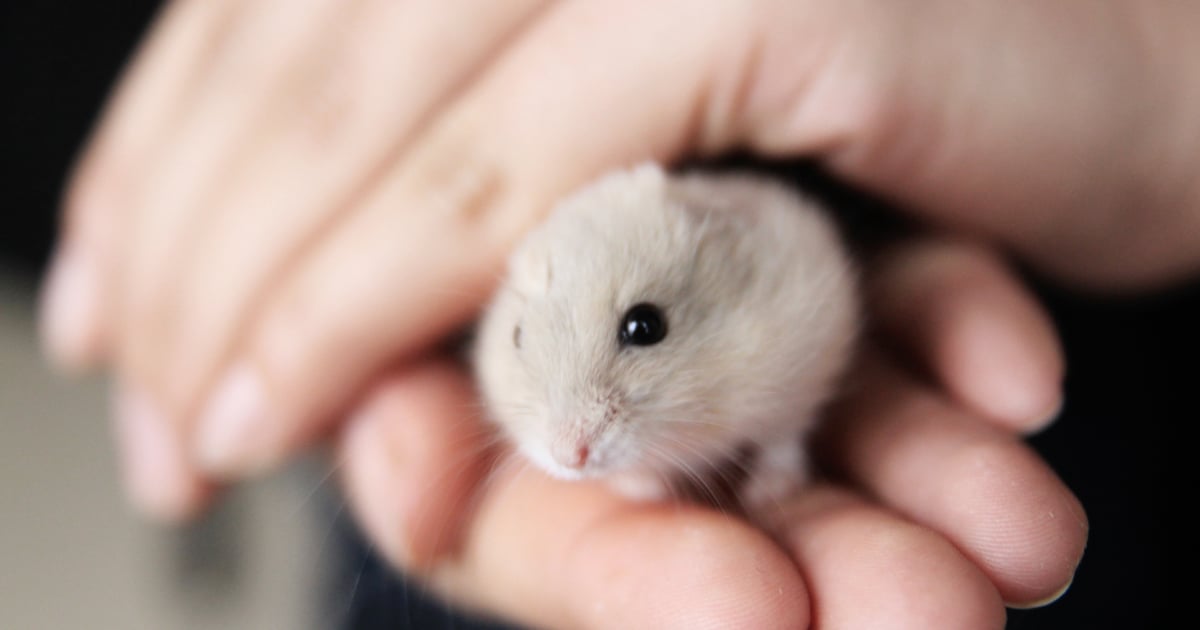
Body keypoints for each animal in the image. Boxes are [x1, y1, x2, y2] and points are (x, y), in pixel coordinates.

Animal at [473, 163, 859, 517]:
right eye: (517, 335)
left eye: (645, 326)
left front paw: (767, 493)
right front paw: (650, 491)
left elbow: (783, 439)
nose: (569, 456)